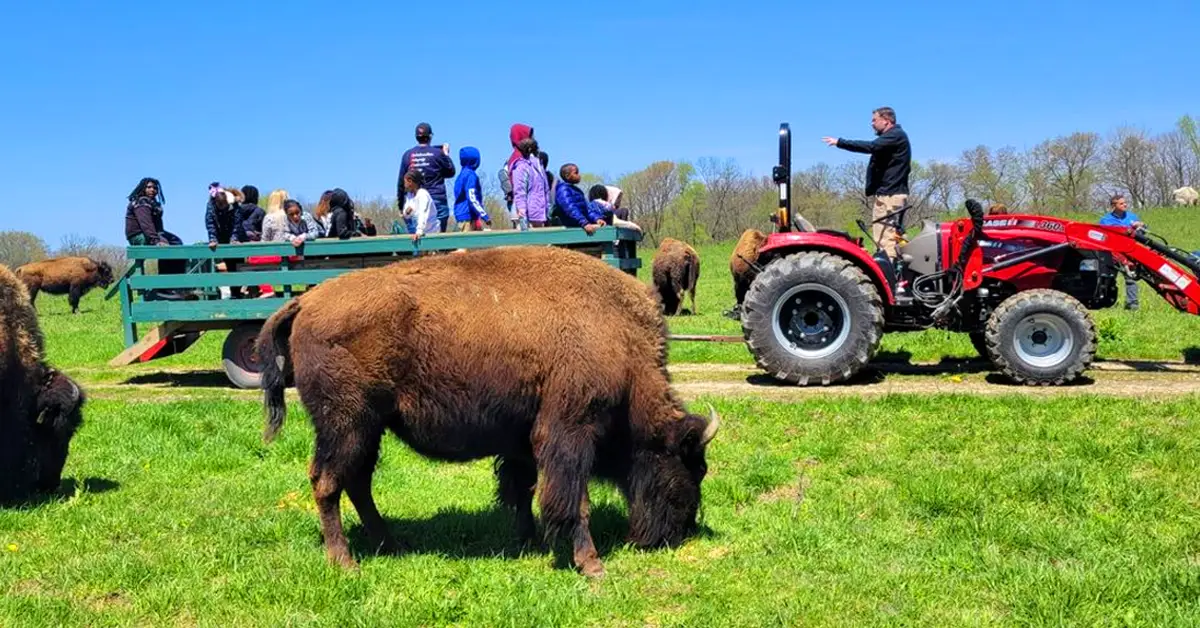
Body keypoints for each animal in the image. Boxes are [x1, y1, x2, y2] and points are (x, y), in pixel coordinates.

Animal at [258, 243, 715, 578]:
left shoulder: (525, 440)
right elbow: (572, 501)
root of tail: (306, 302)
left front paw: (529, 543)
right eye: (692, 466)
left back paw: (391, 544)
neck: (617, 336)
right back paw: (345, 562)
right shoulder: (570, 432)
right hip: (346, 424)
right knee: (327, 483)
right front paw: (592, 565)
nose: (682, 531)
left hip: (369, 429)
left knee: (356, 482)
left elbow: (523, 489)